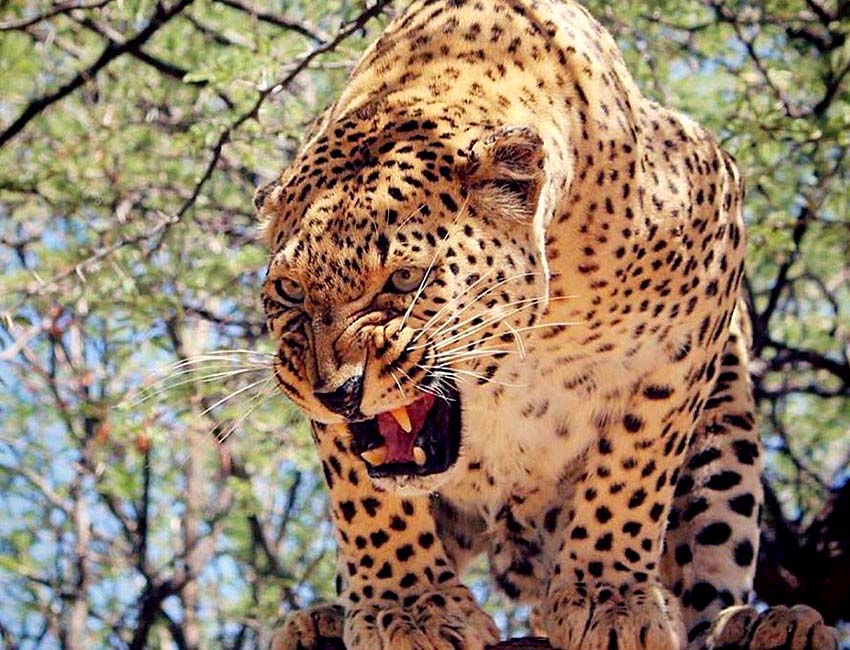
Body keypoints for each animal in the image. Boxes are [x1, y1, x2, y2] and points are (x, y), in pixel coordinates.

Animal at [253, 1, 839, 648]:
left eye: (405, 281)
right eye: (289, 291)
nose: (338, 393)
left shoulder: (704, 278)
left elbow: (635, 463)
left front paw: (609, 597)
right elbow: (365, 499)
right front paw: (410, 608)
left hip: (727, 425)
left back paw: (762, 624)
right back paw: (318, 623)